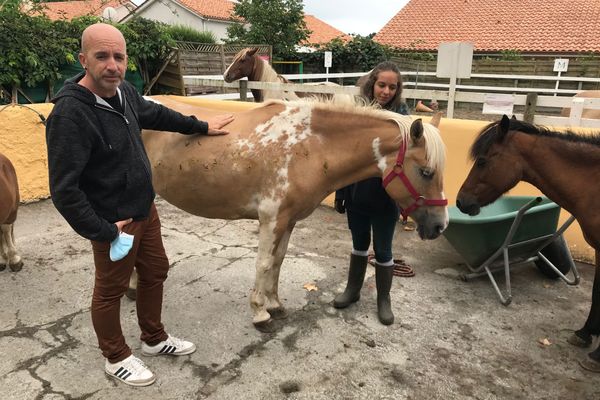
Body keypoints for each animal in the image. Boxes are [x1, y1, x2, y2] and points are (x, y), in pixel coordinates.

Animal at [142, 97, 450, 328]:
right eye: (426, 171)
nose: (440, 225)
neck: (309, 147)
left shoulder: (287, 221)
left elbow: (278, 262)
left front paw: (275, 305)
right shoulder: (271, 220)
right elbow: (264, 263)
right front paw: (259, 312)